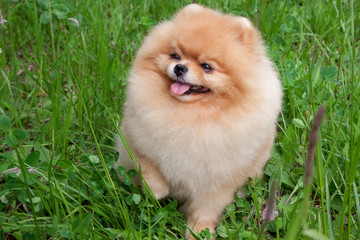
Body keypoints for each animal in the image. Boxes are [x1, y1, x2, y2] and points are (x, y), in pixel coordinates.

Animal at [115, 3, 282, 238]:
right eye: (175, 55)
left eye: (206, 67)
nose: (180, 68)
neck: (191, 114)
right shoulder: (136, 137)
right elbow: (147, 164)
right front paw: (155, 189)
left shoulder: (217, 182)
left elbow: (205, 209)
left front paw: (199, 232)